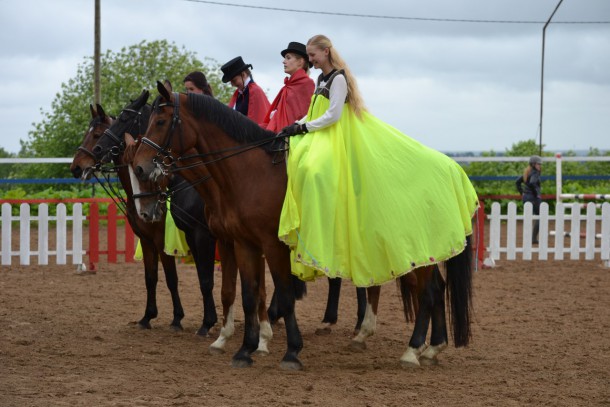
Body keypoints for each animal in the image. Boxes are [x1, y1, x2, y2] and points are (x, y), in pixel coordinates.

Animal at [127, 82, 470, 370]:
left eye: (160, 121)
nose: (141, 167)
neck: (249, 173)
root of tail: (450, 167)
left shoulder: (271, 244)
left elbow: (282, 293)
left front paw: (289, 351)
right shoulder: (242, 243)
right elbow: (247, 293)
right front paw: (244, 349)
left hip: (413, 248)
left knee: (426, 292)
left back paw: (412, 350)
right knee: (432, 289)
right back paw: (430, 347)